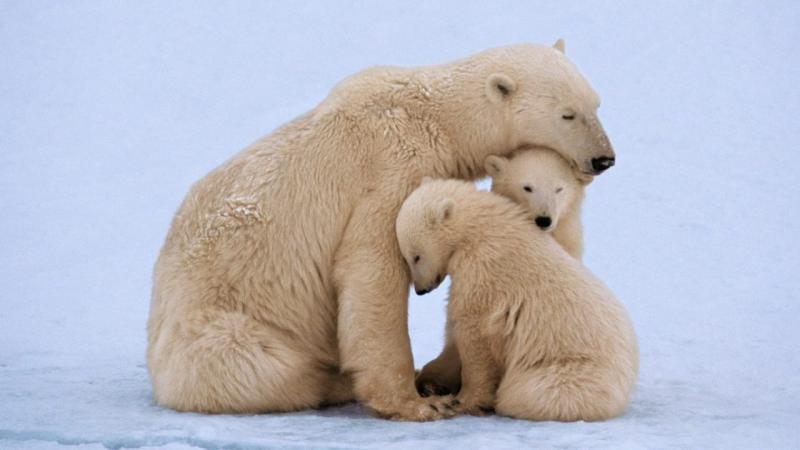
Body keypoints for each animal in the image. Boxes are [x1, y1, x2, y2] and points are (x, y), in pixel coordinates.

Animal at [398, 178, 637, 421]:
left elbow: (474, 331)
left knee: (526, 393)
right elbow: (454, 330)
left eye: (416, 256)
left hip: (571, 370)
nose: (421, 290)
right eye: (406, 257)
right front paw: (431, 381)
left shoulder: (484, 268)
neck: (480, 228)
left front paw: (464, 401)